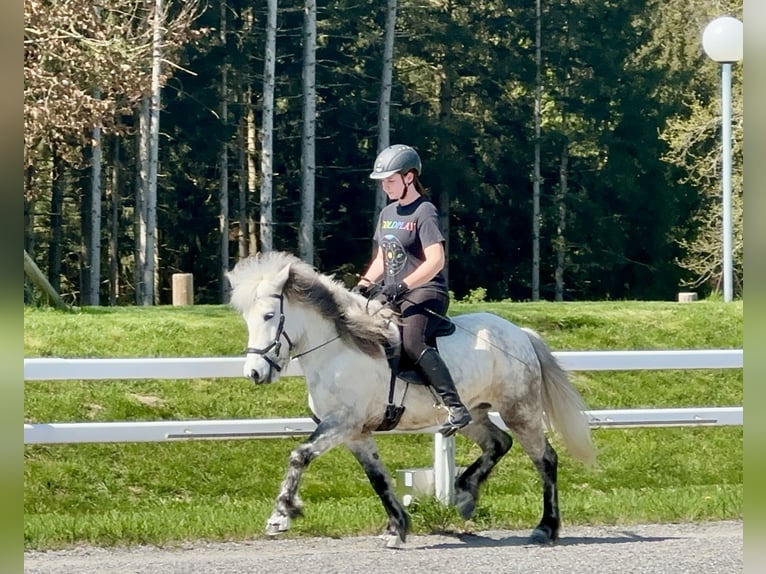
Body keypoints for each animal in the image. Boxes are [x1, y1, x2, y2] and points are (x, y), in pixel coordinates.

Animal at [228, 252, 600, 548]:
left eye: (269, 316)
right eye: (246, 319)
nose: (255, 373)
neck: (339, 348)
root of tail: (520, 333)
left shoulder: (342, 423)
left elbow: (299, 456)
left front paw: (281, 515)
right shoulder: (356, 433)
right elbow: (378, 478)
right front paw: (397, 528)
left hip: (519, 410)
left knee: (545, 459)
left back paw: (545, 528)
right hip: (474, 414)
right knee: (498, 443)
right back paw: (464, 493)